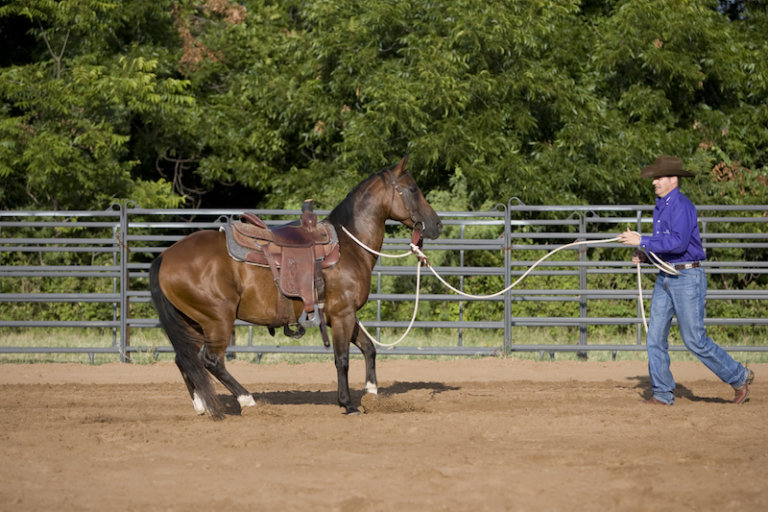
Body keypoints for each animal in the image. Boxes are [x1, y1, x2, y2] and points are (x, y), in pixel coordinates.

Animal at [149, 156, 442, 419]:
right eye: (413, 189)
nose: (437, 224)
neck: (349, 246)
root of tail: (166, 257)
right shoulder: (343, 314)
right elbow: (342, 358)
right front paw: (348, 404)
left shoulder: (344, 315)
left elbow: (368, 348)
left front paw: (371, 394)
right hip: (218, 320)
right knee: (210, 360)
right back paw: (246, 400)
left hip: (193, 322)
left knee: (185, 359)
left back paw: (202, 405)